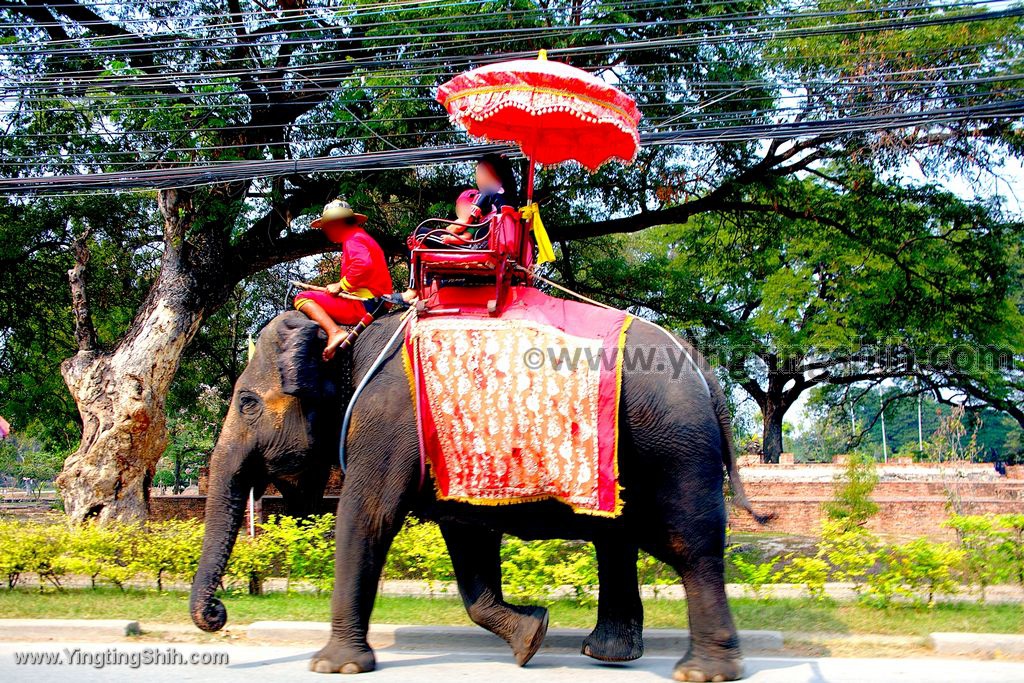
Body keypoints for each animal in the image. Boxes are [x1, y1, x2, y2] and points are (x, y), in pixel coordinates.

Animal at [189, 313, 692, 663]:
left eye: (246, 403)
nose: (218, 614)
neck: (347, 335)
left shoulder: (388, 420)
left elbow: (368, 515)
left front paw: (335, 665)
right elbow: (465, 534)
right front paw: (532, 635)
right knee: (616, 540)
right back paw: (607, 653)